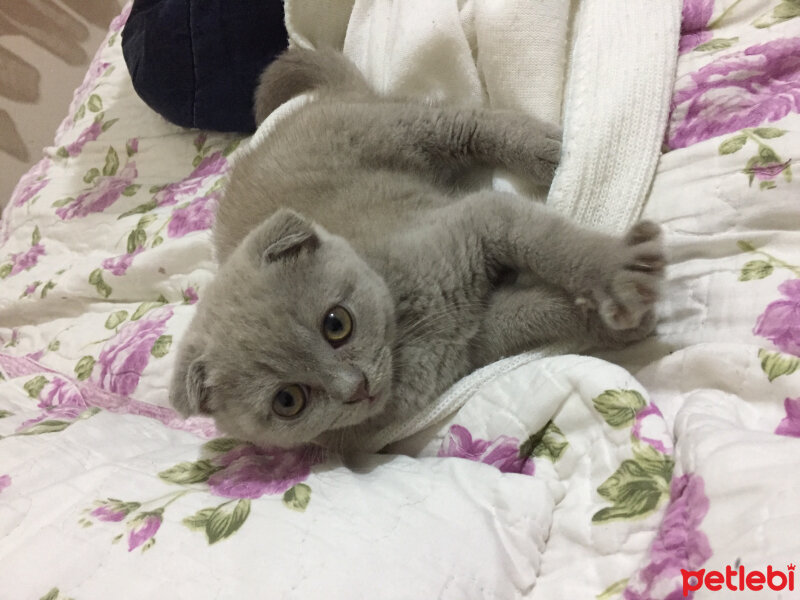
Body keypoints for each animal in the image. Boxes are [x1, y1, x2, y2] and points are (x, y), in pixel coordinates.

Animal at [169, 48, 664, 450]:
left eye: (336, 324)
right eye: (288, 401)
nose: (355, 387)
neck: (407, 335)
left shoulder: (479, 219)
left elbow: (549, 241)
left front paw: (615, 275)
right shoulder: (476, 341)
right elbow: (534, 312)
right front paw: (603, 323)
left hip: (396, 130)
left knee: (469, 124)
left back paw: (549, 151)